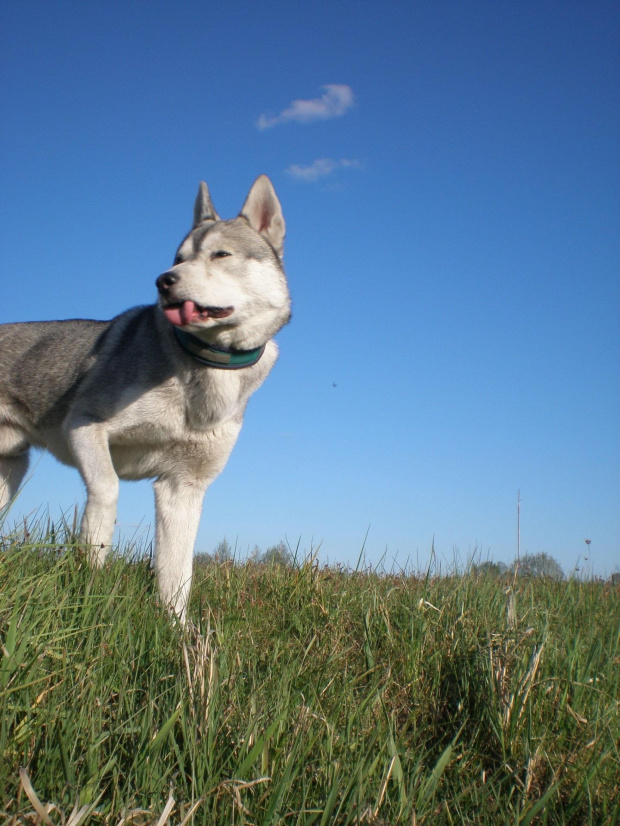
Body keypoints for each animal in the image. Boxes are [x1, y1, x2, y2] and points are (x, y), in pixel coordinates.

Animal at [0, 177, 292, 620]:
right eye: (178, 258)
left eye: (221, 254)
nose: (163, 280)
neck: (205, 367)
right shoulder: (84, 426)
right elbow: (106, 494)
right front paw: (91, 576)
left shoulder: (183, 486)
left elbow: (177, 574)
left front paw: (177, 630)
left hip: (10, 469)